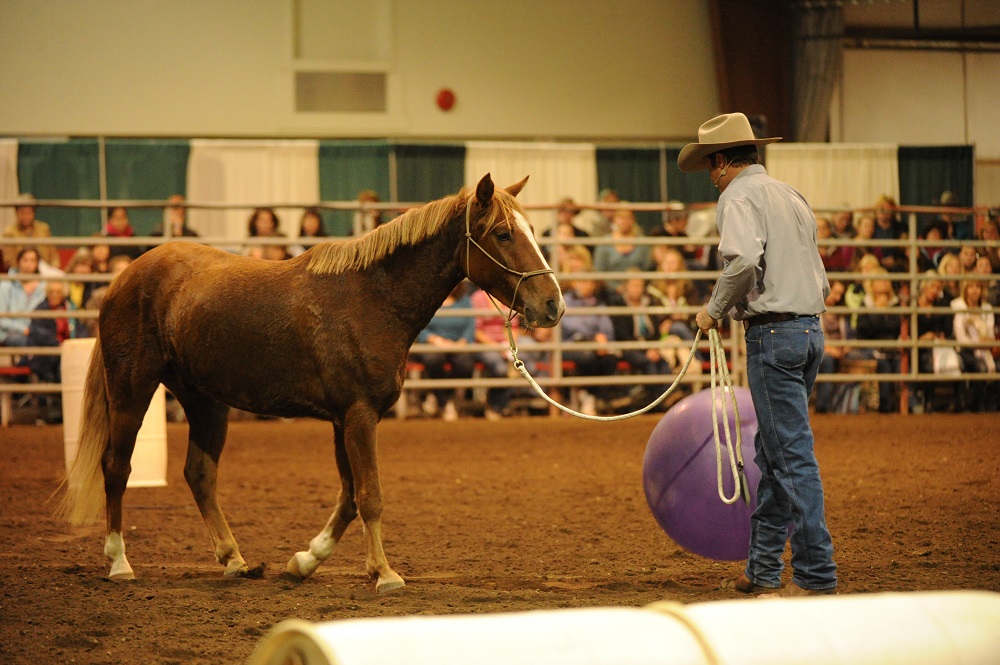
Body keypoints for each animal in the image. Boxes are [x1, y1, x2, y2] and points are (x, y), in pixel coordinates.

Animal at [59, 173, 565, 594]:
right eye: (503, 234)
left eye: (531, 231)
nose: (553, 305)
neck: (371, 299)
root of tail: (124, 277)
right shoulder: (358, 415)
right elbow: (370, 496)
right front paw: (385, 574)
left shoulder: (345, 419)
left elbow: (348, 499)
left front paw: (305, 561)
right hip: (131, 389)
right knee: (116, 468)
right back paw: (119, 563)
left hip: (205, 400)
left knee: (199, 474)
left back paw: (234, 561)